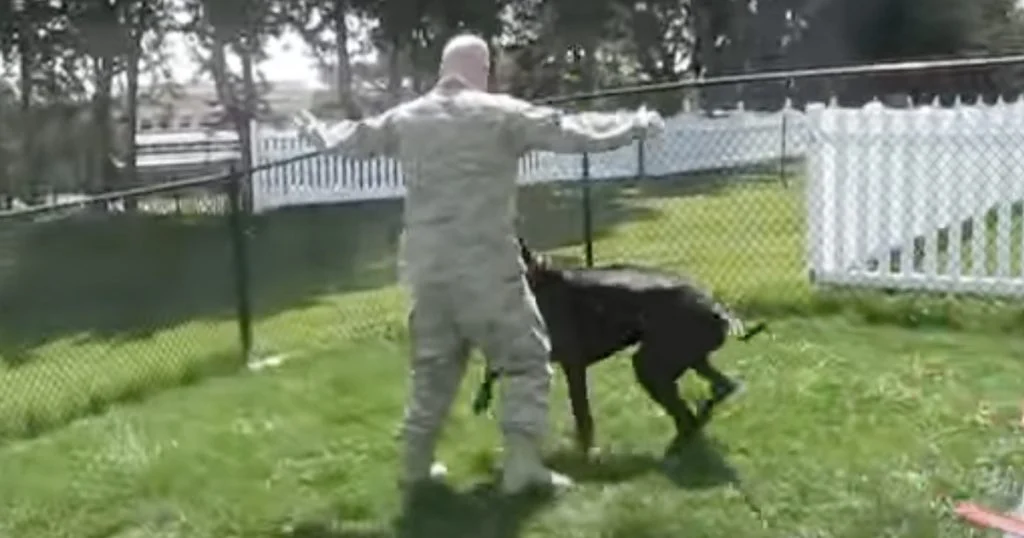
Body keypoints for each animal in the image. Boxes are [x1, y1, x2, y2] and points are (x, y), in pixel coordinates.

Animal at [475, 236, 765, 454]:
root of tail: (718, 308)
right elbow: (494, 366)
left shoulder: (572, 365)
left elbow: (582, 413)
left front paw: (585, 450)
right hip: (689, 358)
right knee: (718, 389)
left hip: (651, 365)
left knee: (686, 413)